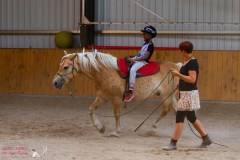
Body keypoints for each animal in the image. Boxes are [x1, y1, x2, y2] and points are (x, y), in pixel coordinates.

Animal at [52, 50, 180, 136]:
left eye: (66, 67)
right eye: (59, 65)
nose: (55, 82)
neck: (106, 71)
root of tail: (176, 66)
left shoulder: (116, 99)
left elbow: (117, 114)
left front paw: (116, 131)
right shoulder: (102, 97)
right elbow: (91, 110)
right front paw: (100, 128)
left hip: (166, 96)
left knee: (166, 110)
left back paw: (153, 128)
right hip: (171, 96)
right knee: (176, 110)